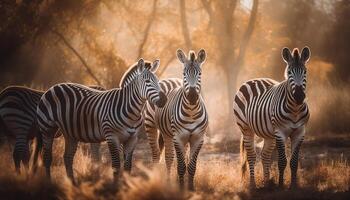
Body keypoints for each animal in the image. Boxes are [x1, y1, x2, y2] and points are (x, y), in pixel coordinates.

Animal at [37, 58, 167, 184]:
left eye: (157, 81)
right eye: (147, 82)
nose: (164, 100)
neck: (131, 112)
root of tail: (55, 86)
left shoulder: (132, 139)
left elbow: (127, 167)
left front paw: (126, 185)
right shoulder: (112, 137)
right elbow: (116, 165)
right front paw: (115, 187)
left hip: (70, 133)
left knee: (67, 157)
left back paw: (72, 183)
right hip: (47, 128)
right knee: (47, 157)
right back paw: (49, 183)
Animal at [144, 49, 208, 190]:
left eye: (200, 74)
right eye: (184, 73)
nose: (192, 96)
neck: (191, 112)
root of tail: (169, 80)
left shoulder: (198, 138)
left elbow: (191, 165)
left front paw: (190, 187)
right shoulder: (178, 137)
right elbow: (181, 165)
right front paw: (181, 187)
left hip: (168, 134)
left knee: (170, 157)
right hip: (151, 126)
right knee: (160, 155)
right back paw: (163, 180)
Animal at [234, 47, 310, 189]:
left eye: (305, 72)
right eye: (289, 72)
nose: (299, 96)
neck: (295, 109)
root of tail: (254, 79)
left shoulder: (300, 132)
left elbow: (294, 161)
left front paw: (293, 186)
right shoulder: (280, 132)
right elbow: (282, 161)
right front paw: (280, 185)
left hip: (268, 133)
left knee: (265, 155)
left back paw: (267, 183)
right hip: (246, 129)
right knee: (251, 156)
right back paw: (253, 184)